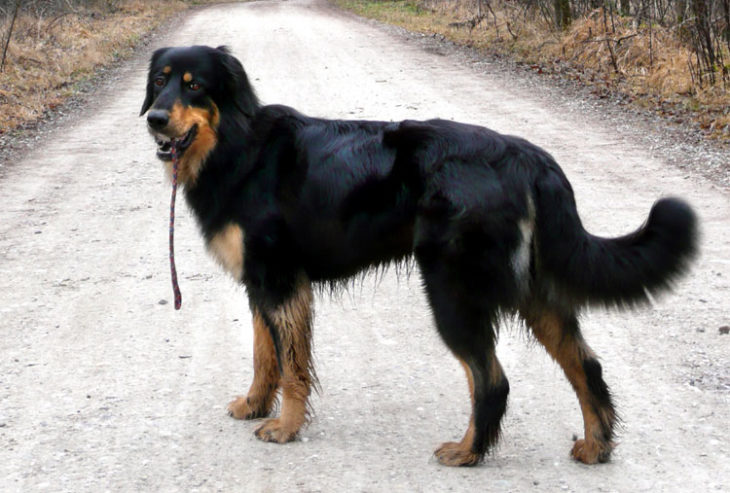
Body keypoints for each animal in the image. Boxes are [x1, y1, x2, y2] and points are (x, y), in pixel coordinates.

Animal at [141, 45, 692, 466]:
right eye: (160, 81)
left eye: (195, 85)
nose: (155, 119)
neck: (237, 146)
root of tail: (528, 158)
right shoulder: (262, 285)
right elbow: (264, 357)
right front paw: (256, 405)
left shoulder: (280, 283)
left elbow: (293, 366)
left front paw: (286, 427)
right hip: (534, 295)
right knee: (587, 367)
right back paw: (596, 446)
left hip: (452, 291)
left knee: (492, 379)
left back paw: (468, 452)